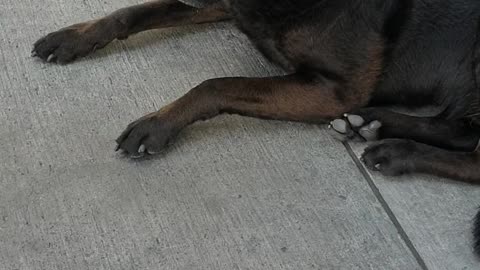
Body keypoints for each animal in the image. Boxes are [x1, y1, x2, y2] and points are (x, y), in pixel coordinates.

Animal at [31, 0, 480, 256]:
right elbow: (136, 10)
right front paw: (74, 37)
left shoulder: (333, 90)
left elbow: (218, 84)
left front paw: (160, 121)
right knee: (460, 130)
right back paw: (374, 123)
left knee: (471, 153)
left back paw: (398, 151)